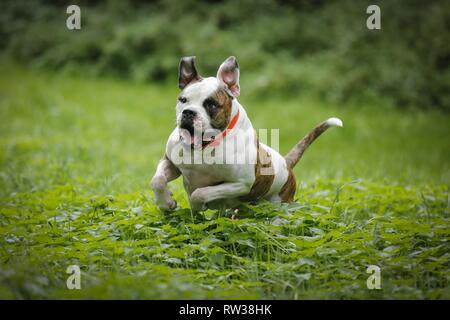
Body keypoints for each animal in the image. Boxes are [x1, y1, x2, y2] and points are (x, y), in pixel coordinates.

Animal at [150, 57, 342, 212]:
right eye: (183, 100)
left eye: (211, 104)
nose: (188, 113)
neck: (203, 146)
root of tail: (286, 163)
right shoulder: (170, 162)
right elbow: (157, 180)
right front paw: (165, 203)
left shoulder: (240, 184)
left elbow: (200, 193)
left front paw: (196, 205)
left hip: (278, 203)